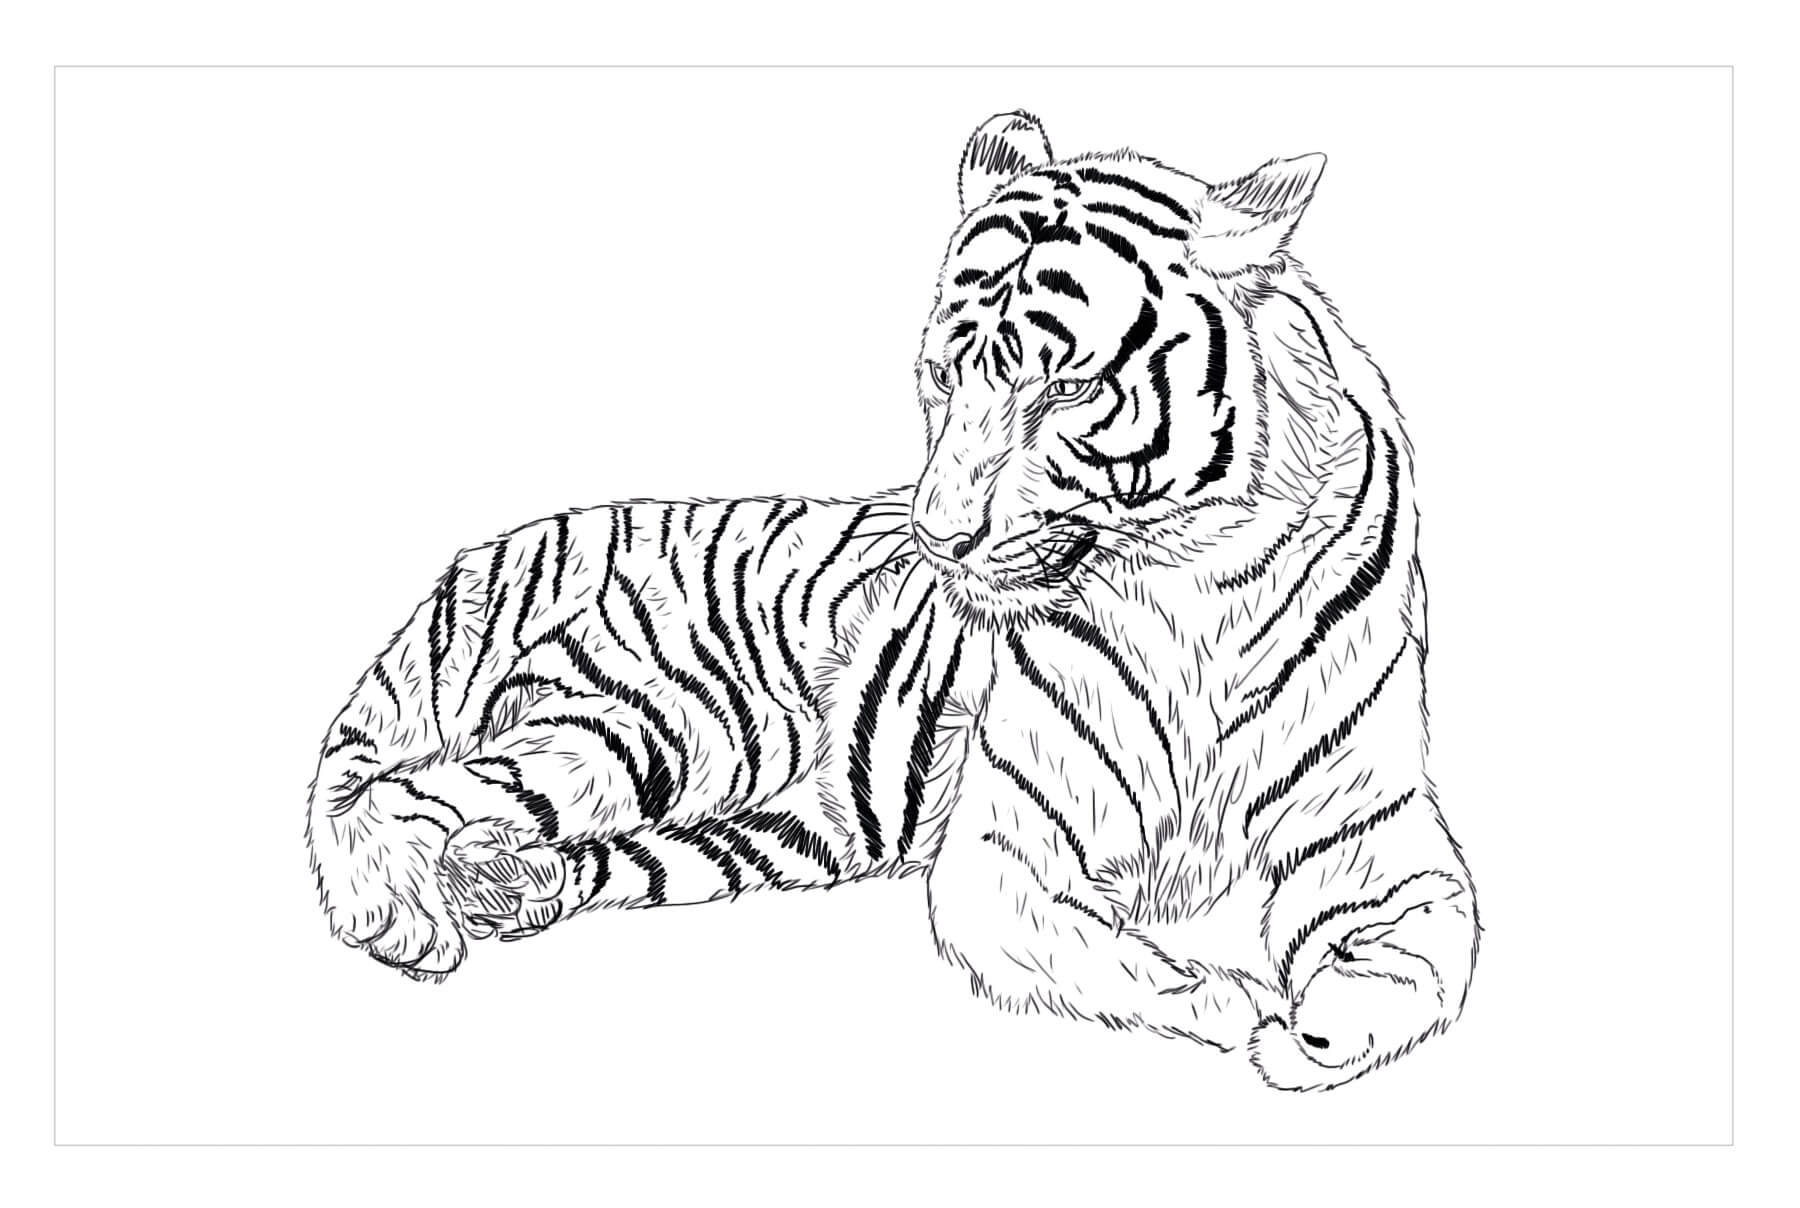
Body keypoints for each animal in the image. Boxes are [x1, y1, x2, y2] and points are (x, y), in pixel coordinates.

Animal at [305, 111, 1479, 1092]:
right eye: (942, 378)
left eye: (1065, 389)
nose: (937, 538)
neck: (1198, 586)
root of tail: (509, 546)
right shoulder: (1005, 853)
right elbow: (1112, 957)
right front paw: (1243, 1006)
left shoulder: (1381, 832)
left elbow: (1432, 954)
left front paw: (1322, 1027)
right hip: (649, 724)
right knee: (400, 793)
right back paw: (392, 915)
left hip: (781, 818)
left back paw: (509, 882)